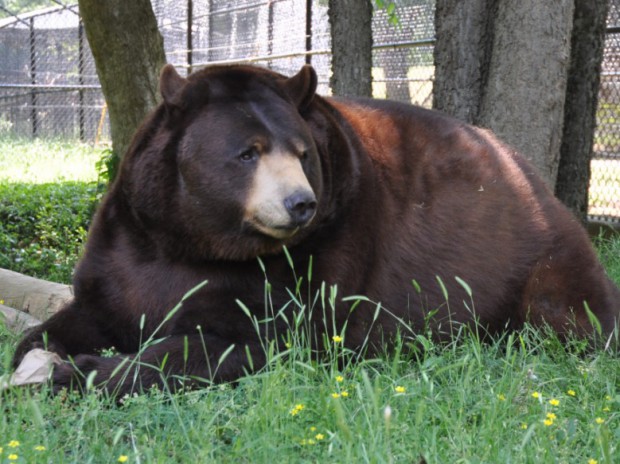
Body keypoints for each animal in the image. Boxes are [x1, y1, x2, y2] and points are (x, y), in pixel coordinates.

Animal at [10, 61, 620, 396]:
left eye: (301, 153)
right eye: (248, 152)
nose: (300, 203)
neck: (199, 238)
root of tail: (537, 182)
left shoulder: (311, 264)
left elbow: (246, 340)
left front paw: (82, 372)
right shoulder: (130, 238)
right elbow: (90, 309)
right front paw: (37, 354)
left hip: (540, 265)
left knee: (568, 315)